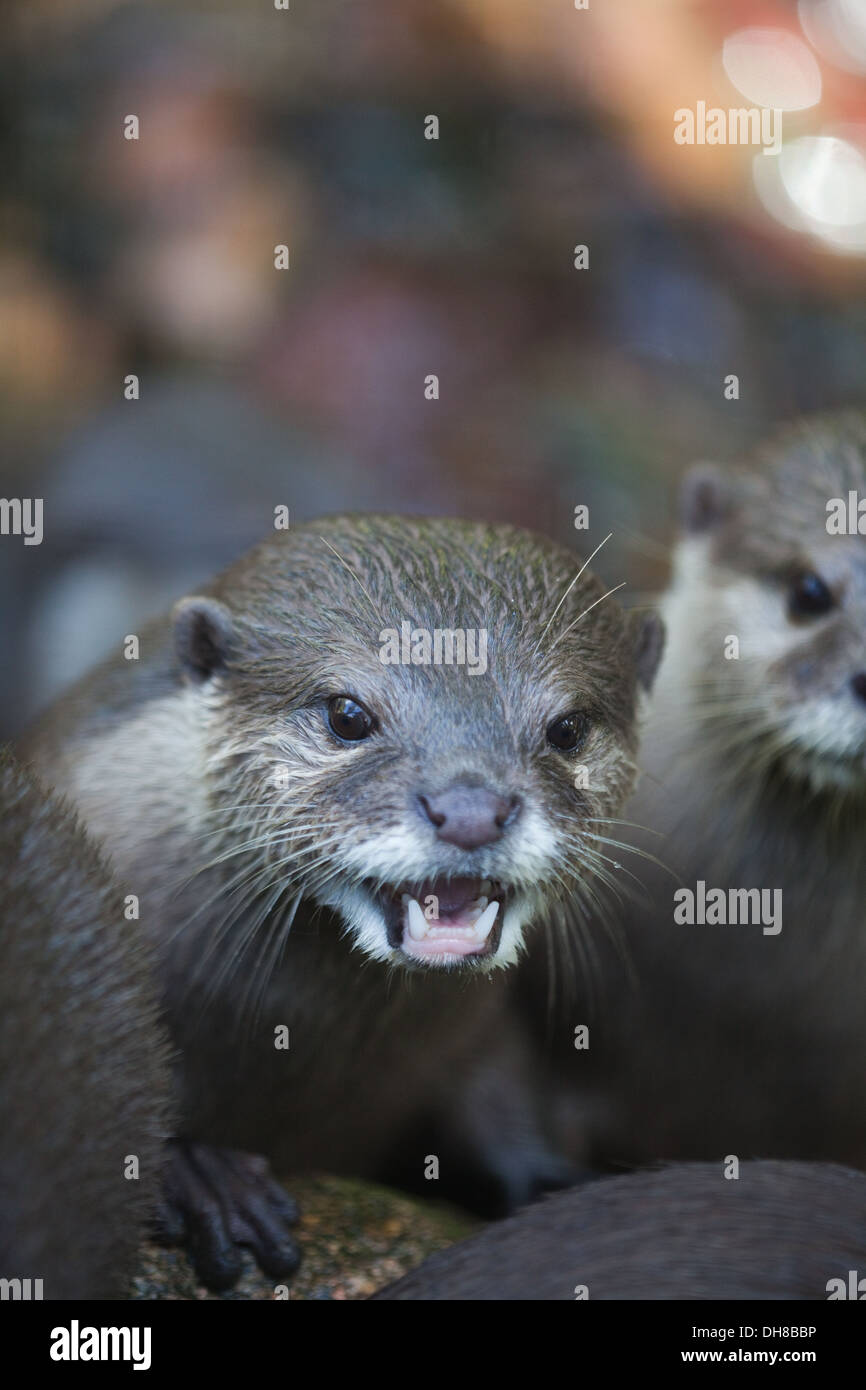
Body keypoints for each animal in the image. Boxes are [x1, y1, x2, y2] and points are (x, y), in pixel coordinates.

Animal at [20, 517, 664, 1284]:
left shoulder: (472, 1033)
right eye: (348, 714)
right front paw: (197, 1171)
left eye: (568, 728)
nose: (470, 810)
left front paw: (549, 1179)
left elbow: (496, 1086)